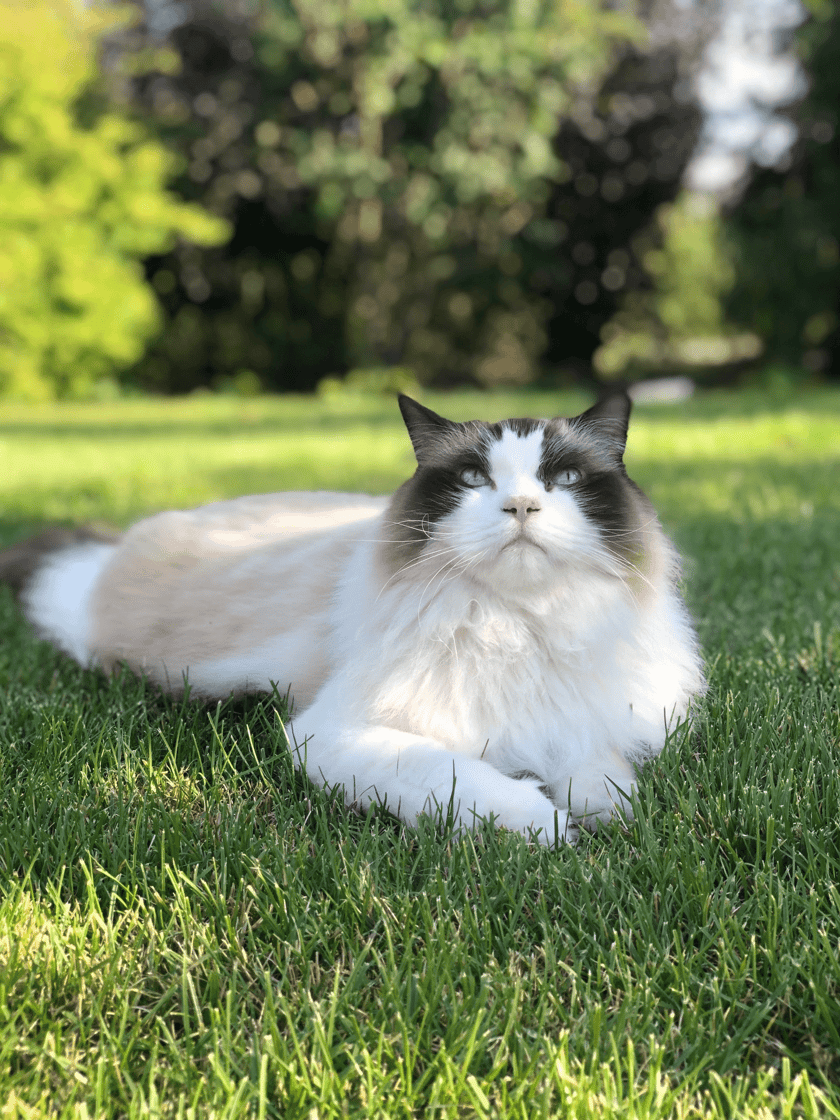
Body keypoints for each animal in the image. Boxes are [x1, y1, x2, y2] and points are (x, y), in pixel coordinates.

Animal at [3, 394, 707, 842]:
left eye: (565, 479)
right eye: (473, 479)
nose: (521, 507)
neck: (518, 626)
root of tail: (113, 551)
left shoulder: (581, 727)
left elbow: (602, 780)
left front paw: (605, 820)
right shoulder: (336, 735)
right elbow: (471, 783)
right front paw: (550, 829)